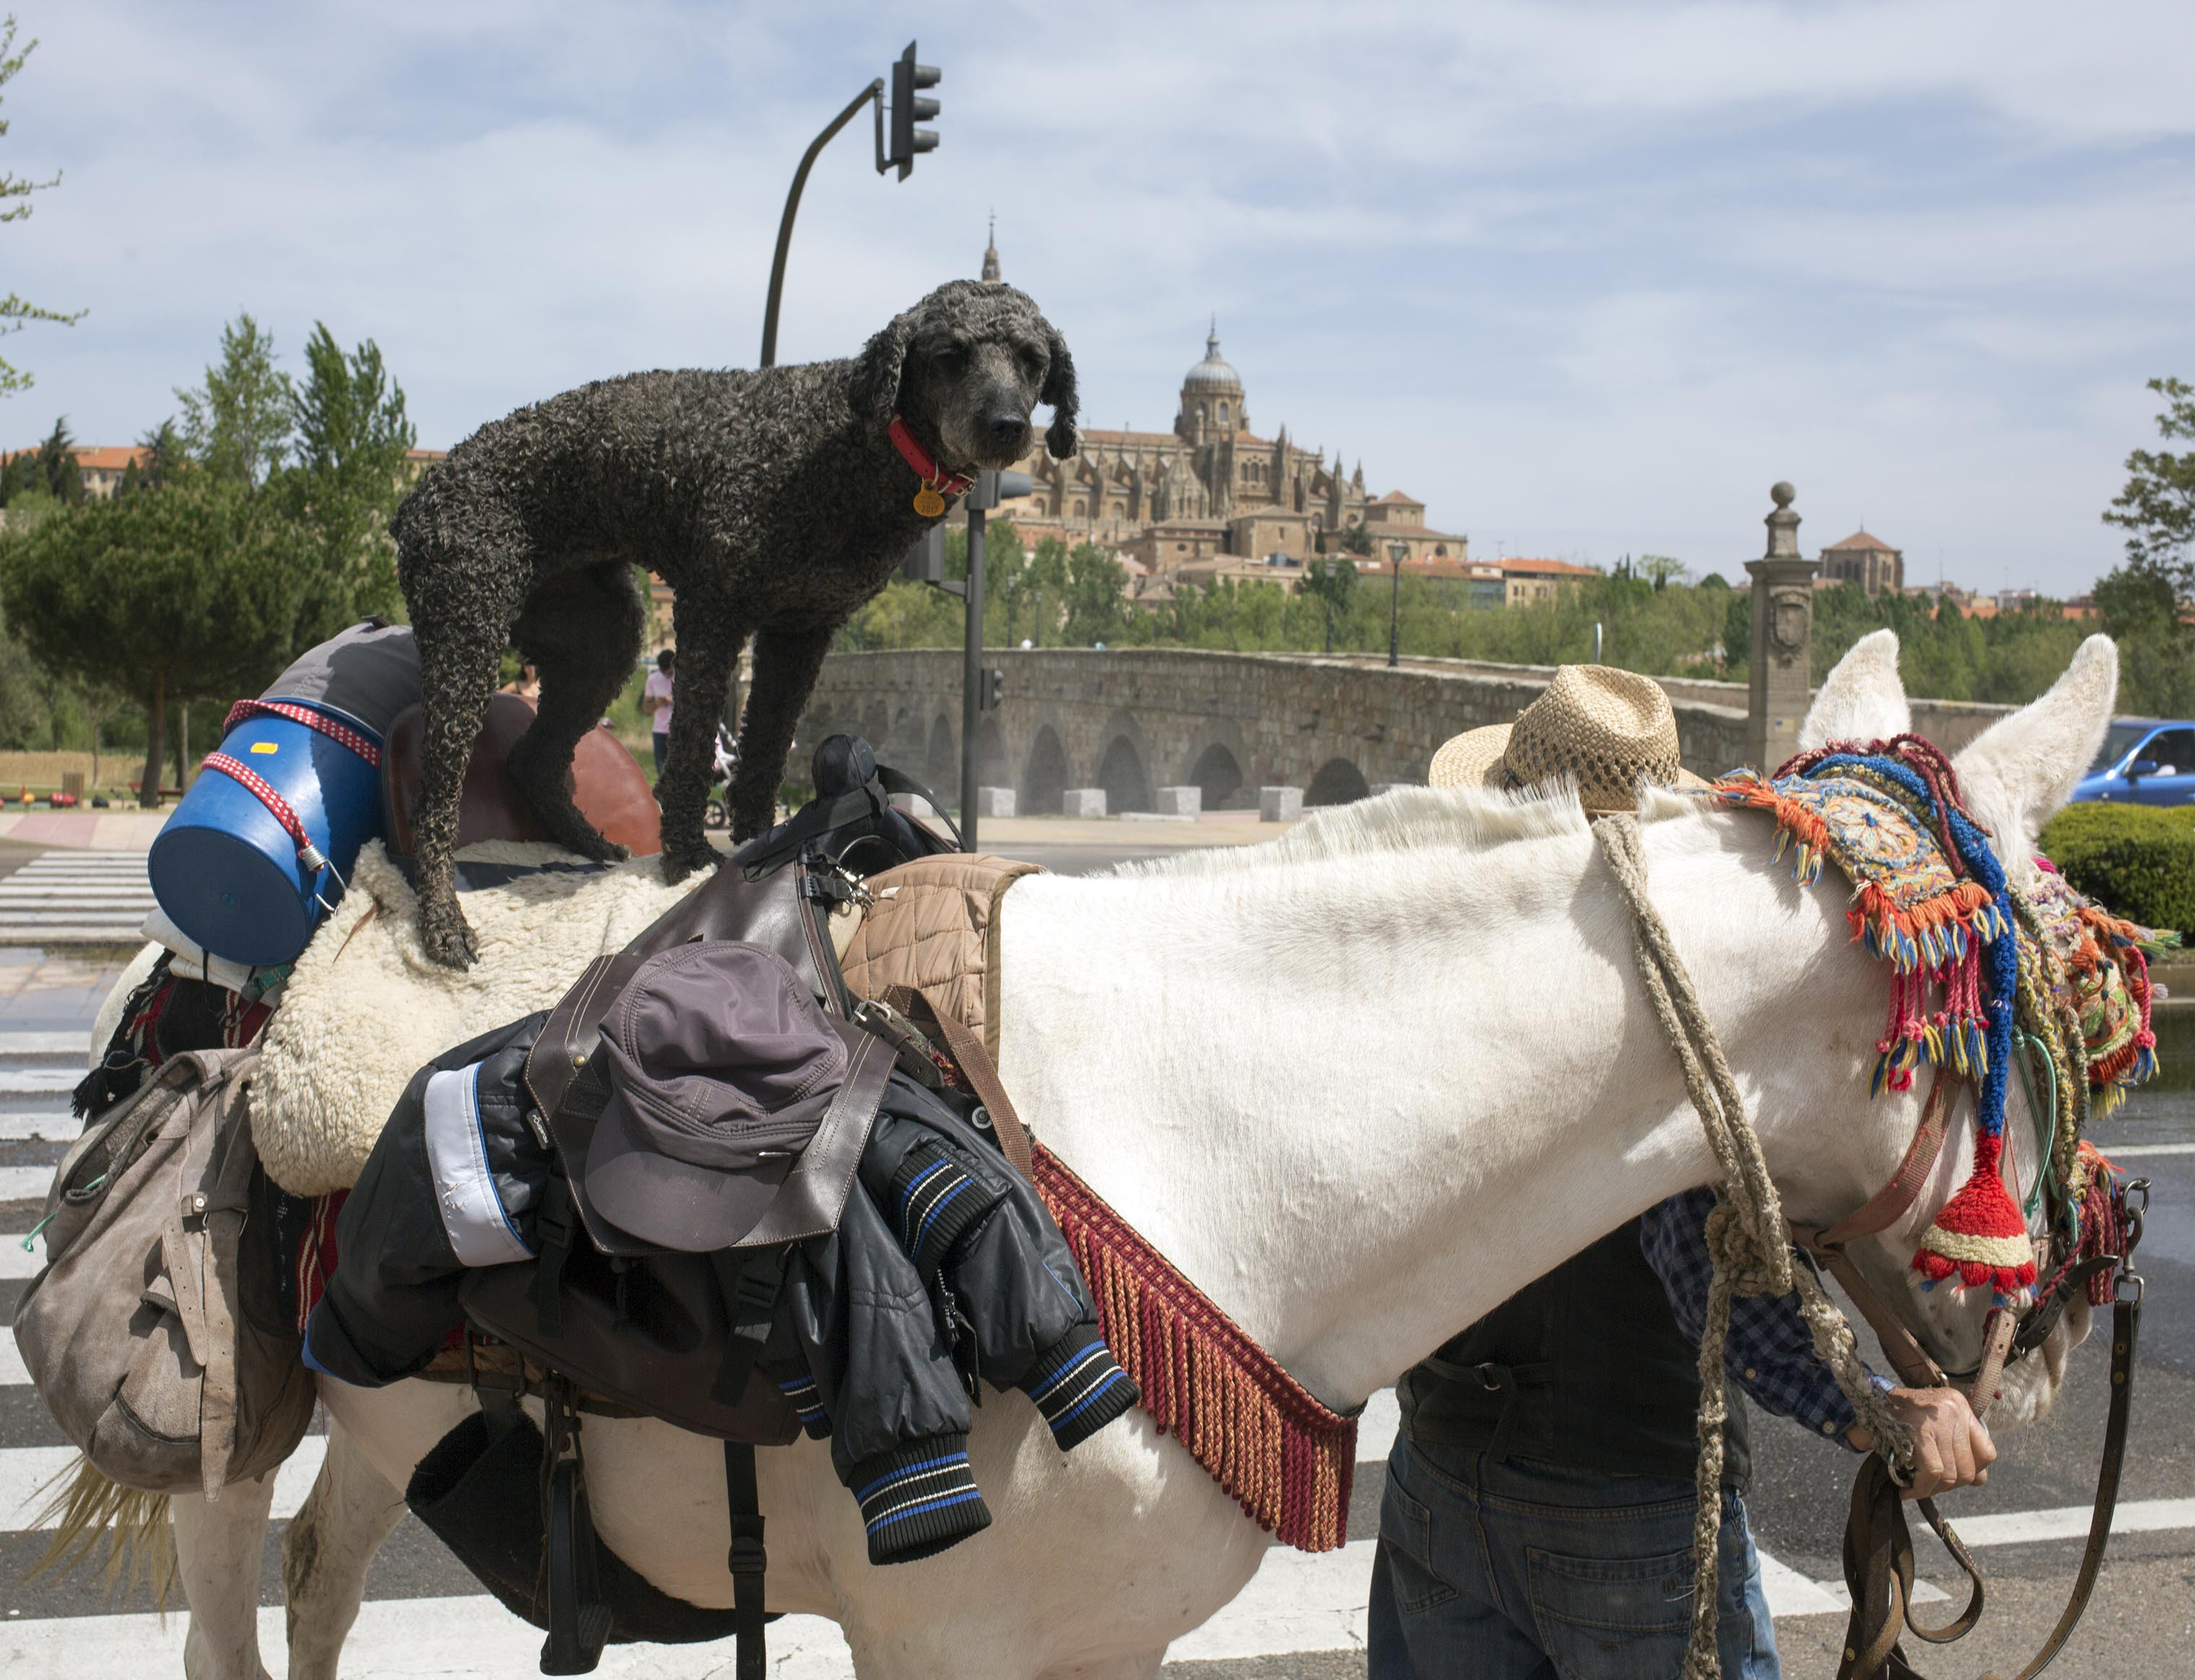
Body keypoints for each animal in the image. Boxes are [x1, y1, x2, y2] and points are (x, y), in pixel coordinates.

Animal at [154, 636, 2107, 1680]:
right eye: (2099, 1026)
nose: (2056, 1325)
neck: (1225, 1150)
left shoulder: (1102, 1637)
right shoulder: (940, 1643)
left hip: (395, 1406)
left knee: (328, 1571)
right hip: (245, 1397)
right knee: (237, 1585)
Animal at [399, 283, 1084, 965]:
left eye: (1031, 360)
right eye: (950, 355)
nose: (1007, 426)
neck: (850, 449)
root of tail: (421, 492)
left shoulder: (801, 632)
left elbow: (762, 754)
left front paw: (764, 844)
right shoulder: (712, 609)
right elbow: (694, 746)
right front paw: (687, 857)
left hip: (600, 643)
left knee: (533, 761)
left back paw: (591, 846)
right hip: (467, 630)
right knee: (434, 803)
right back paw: (443, 923)